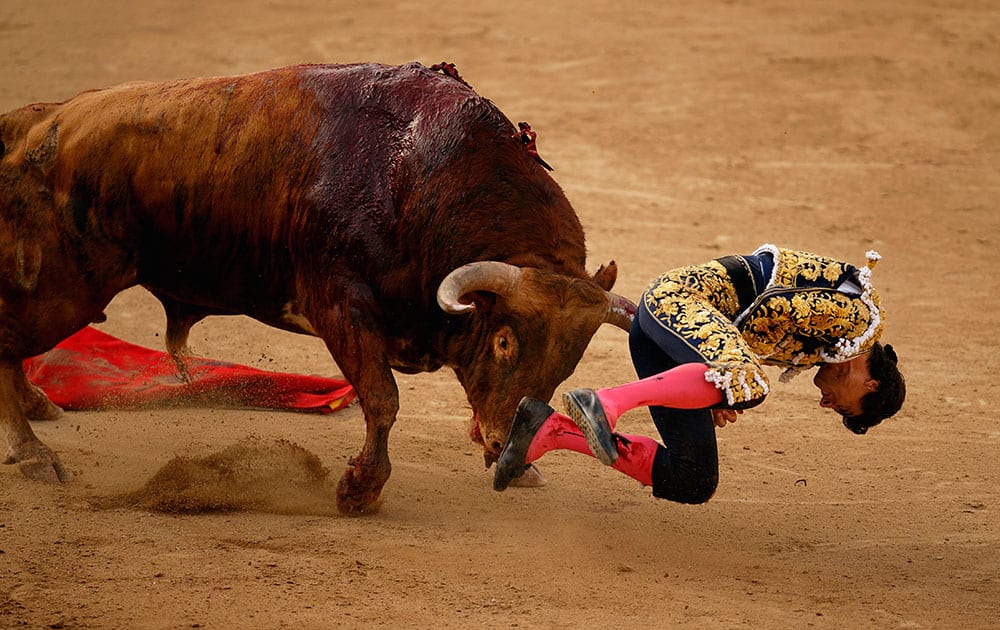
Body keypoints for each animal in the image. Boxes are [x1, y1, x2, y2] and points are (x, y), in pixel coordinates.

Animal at [0, 61, 632, 512]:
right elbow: (382, 398)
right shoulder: (340, 306)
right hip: (64, 287)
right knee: (10, 342)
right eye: (503, 341)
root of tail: (34, 123)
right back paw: (34, 455)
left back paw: (40, 409)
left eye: (567, 363)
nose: (508, 447)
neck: (421, 185)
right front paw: (359, 490)